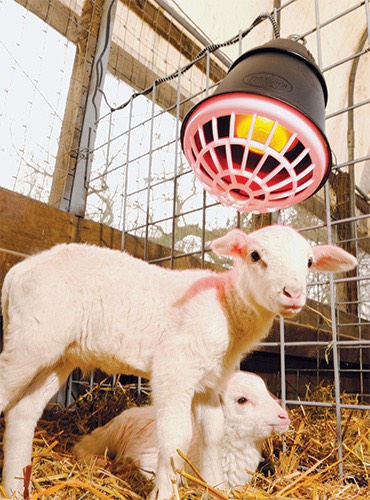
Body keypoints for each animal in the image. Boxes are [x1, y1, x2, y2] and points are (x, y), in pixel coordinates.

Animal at [73, 372, 292, 488]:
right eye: (242, 400)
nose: (284, 416)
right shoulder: (151, 461)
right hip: (112, 431)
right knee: (85, 445)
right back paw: (101, 461)